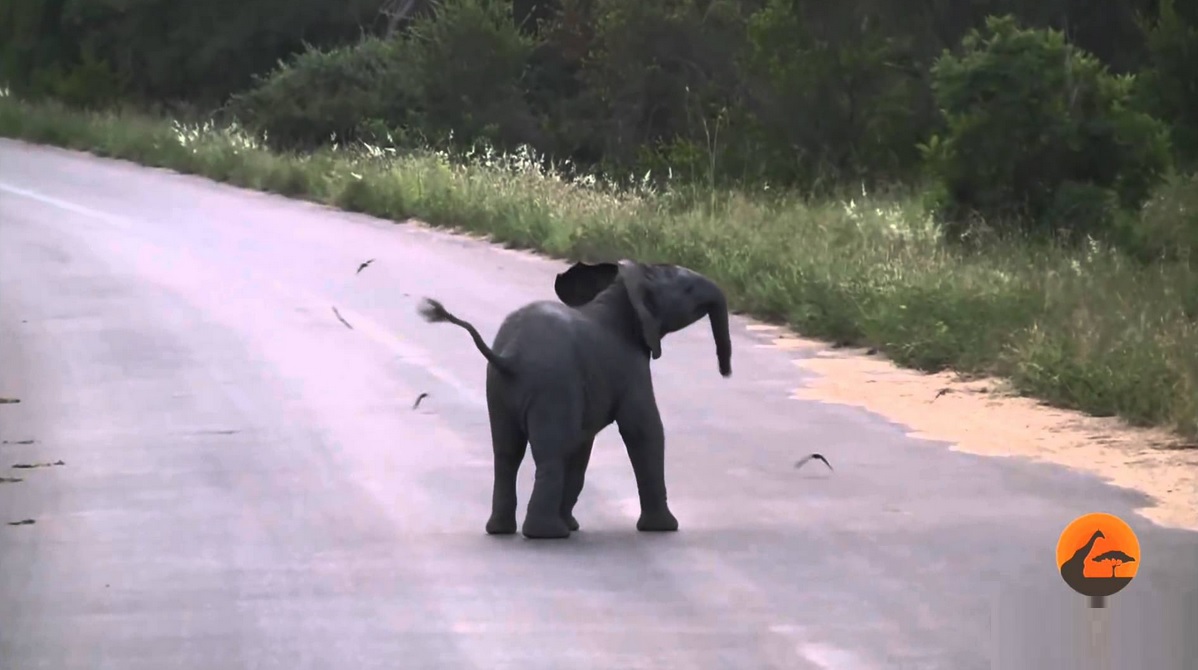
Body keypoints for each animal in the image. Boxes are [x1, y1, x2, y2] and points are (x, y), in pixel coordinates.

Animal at [426, 260, 733, 536]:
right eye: (688, 289)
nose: (726, 372)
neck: (620, 292)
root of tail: (510, 355)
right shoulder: (631, 366)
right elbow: (642, 430)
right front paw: (664, 528)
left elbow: (583, 446)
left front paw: (573, 524)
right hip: (551, 387)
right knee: (551, 452)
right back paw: (547, 533)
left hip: (499, 390)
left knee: (507, 453)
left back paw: (502, 530)